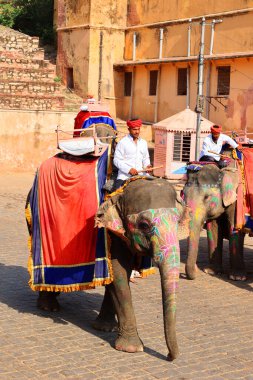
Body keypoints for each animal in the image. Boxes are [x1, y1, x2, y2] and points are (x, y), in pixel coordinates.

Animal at [94, 177, 185, 360]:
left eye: (179, 221)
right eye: (144, 225)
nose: (169, 356)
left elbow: (117, 276)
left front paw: (108, 329)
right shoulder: (112, 234)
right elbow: (118, 274)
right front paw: (132, 348)